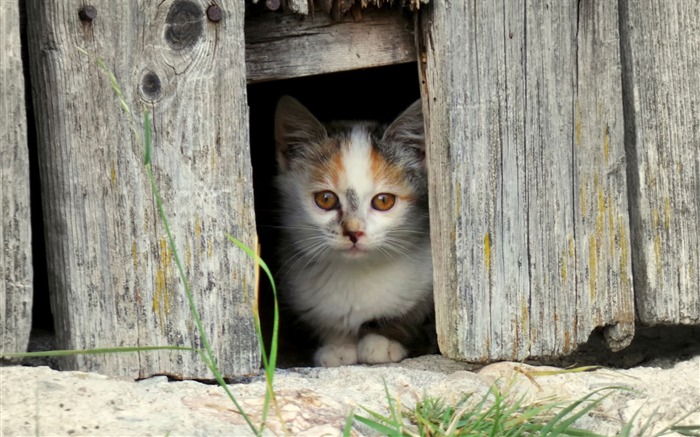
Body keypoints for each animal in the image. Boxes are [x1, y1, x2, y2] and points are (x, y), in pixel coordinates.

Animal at [272, 95, 432, 364]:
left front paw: (383, 340)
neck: (358, 272)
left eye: (383, 201)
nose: (354, 232)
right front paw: (338, 346)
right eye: (325, 199)